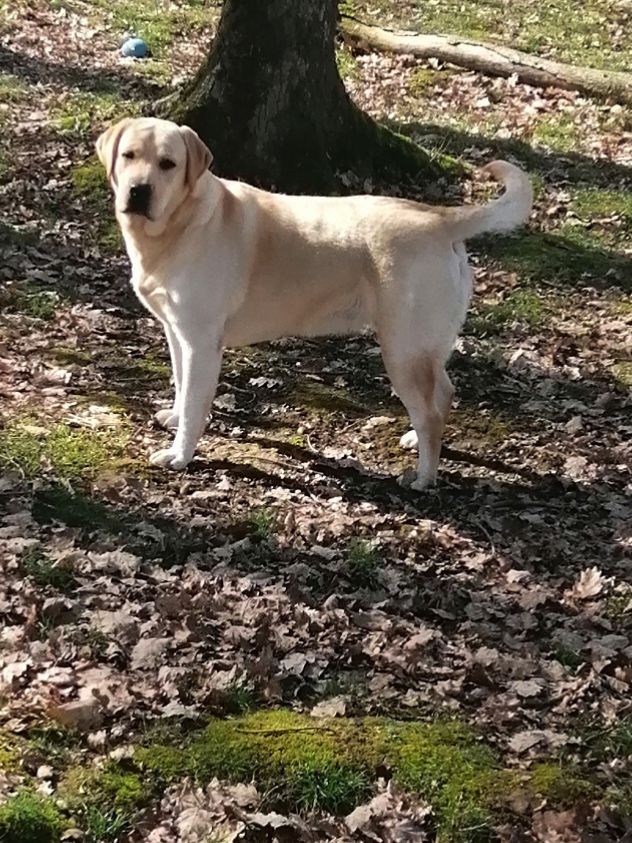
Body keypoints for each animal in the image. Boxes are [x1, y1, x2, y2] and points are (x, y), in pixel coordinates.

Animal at [96, 115, 532, 492]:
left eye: (168, 164)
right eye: (129, 155)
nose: (139, 191)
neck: (179, 225)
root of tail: (440, 218)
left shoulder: (200, 342)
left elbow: (194, 401)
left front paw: (180, 455)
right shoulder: (177, 332)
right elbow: (180, 382)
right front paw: (174, 416)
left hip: (402, 348)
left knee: (430, 410)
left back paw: (424, 476)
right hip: (425, 344)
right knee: (441, 394)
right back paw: (415, 438)